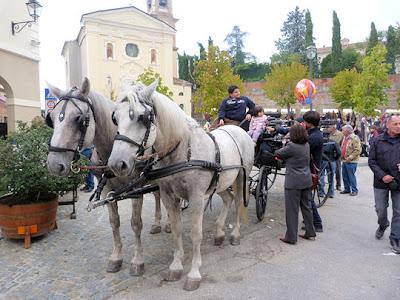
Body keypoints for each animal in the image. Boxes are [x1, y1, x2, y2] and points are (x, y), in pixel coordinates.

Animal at [46, 78, 170, 276]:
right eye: (51, 118)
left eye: (78, 119)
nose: (53, 164)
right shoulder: (106, 191)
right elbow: (114, 222)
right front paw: (116, 257)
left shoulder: (135, 190)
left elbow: (136, 223)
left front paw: (137, 261)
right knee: (158, 195)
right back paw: (157, 224)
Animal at [108, 80, 255, 290]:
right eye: (115, 118)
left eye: (142, 117)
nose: (116, 164)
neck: (183, 150)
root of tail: (239, 130)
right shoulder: (169, 197)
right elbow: (176, 231)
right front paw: (176, 266)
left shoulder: (196, 198)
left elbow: (195, 234)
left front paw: (194, 273)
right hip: (221, 183)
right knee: (228, 199)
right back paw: (219, 233)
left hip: (241, 177)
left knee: (238, 203)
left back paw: (235, 234)